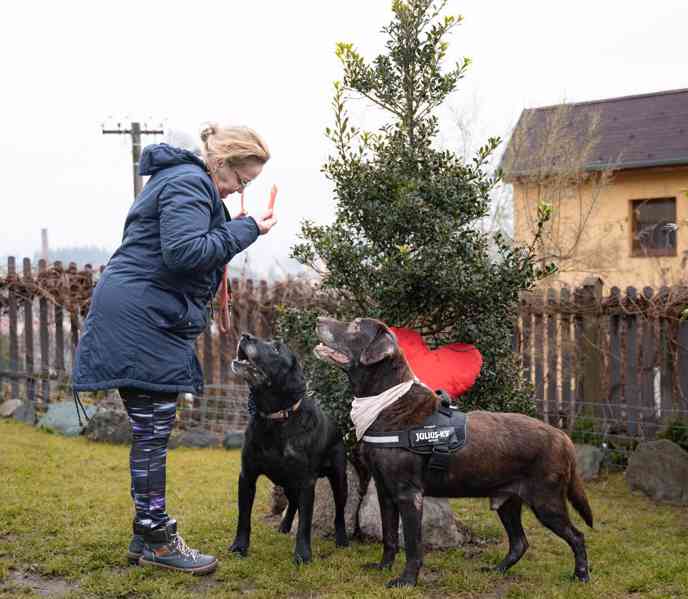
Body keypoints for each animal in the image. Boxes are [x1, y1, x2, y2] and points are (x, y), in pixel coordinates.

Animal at [231, 336, 350, 564]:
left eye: (276, 349)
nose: (245, 336)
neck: (275, 418)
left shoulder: (306, 482)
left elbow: (305, 523)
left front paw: (303, 555)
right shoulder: (247, 476)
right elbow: (243, 517)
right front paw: (239, 547)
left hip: (339, 478)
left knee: (339, 512)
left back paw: (342, 539)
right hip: (285, 481)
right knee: (293, 502)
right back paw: (284, 525)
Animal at [314, 316, 592, 588]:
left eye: (355, 326)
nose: (318, 319)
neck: (387, 402)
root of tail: (562, 436)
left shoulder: (408, 494)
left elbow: (413, 545)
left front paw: (406, 581)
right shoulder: (385, 491)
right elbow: (390, 536)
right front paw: (383, 568)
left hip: (547, 502)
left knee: (577, 536)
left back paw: (581, 576)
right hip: (507, 500)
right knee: (519, 542)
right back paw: (497, 570)